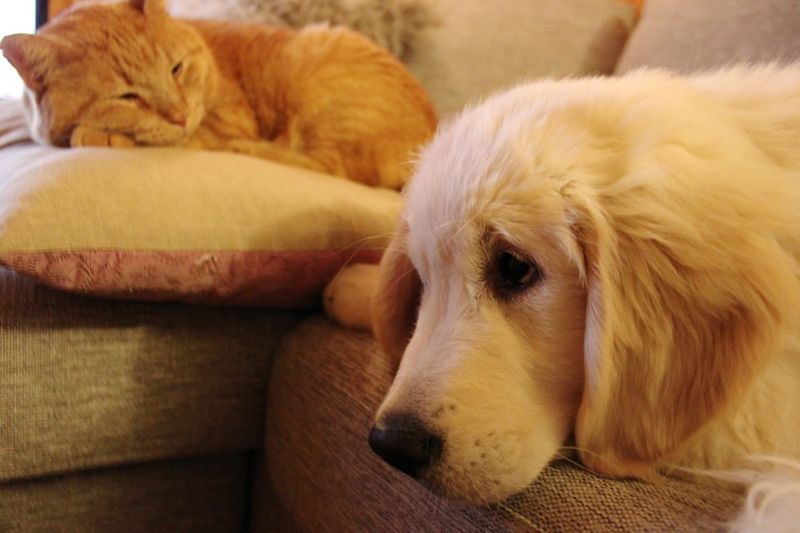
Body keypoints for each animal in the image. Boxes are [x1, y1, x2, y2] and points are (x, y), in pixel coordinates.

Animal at [1, 0, 438, 189]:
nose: (179, 113)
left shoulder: (224, 123)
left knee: (326, 165)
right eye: (127, 97)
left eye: (176, 68)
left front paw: (100, 136)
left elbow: (193, 138)